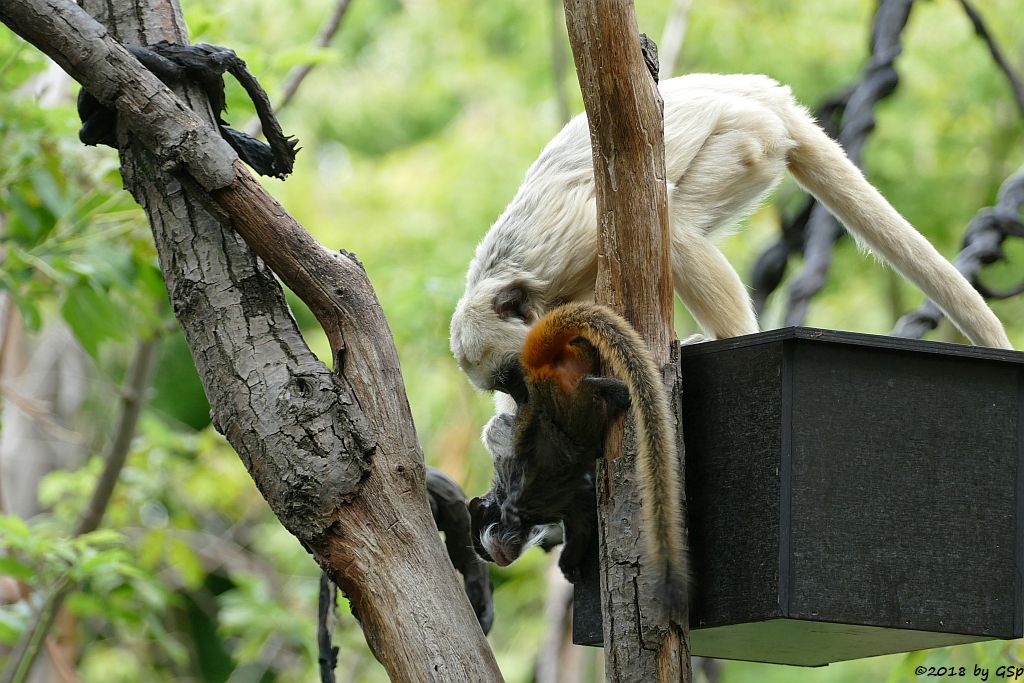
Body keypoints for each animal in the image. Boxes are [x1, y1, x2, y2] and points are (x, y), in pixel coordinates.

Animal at [452, 72, 1011, 409]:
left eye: (515, 379)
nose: (523, 399)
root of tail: (768, 96)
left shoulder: (575, 242)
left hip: (745, 140)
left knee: (676, 224)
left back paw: (728, 335)